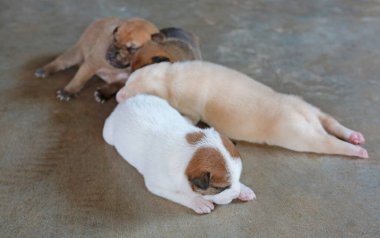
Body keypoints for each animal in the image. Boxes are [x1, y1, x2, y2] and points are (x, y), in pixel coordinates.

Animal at [103, 94, 255, 214]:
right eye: (220, 188)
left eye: (237, 178)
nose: (235, 194)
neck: (189, 151)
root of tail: (128, 100)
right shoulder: (157, 186)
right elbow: (181, 195)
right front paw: (198, 201)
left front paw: (243, 189)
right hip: (108, 134)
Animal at [116, 60, 368, 159]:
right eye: (128, 83)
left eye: (130, 92)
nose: (118, 96)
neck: (168, 76)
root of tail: (307, 117)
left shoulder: (188, 104)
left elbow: (189, 117)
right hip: (307, 106)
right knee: (331, 121)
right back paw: (353, 135)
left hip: (296, 133)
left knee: (326, 142)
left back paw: (355, 150)